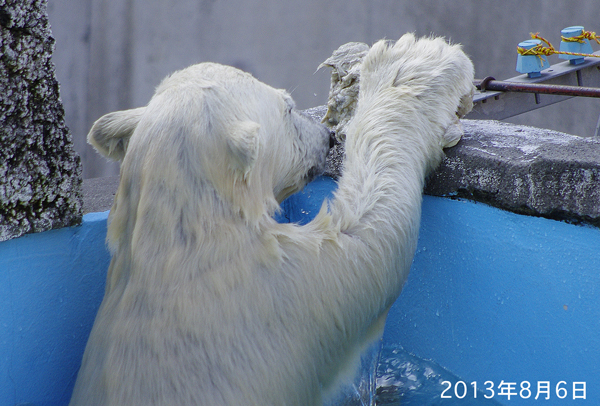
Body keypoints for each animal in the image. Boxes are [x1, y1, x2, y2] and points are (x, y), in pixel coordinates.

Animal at [70, 32, 474, 406]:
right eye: (290, 108)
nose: (327, 137)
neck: (186, 231)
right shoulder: (292, 288)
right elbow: (369, 237)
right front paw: (412, 61)